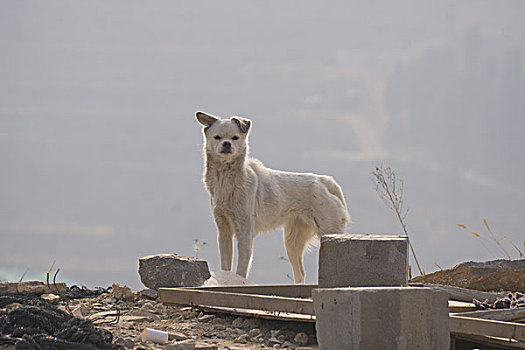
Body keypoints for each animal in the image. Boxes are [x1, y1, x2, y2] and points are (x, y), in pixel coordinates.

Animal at [195, 110, 348, 284]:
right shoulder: (224, 231)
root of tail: (326, 182)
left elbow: (241, 271)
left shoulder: (245, 233)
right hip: (292, 242)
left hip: (329, 230)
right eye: (217, 137)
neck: (227, 179)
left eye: (235, 138)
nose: (226, 144)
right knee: (300, 273)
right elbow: (226, 266)